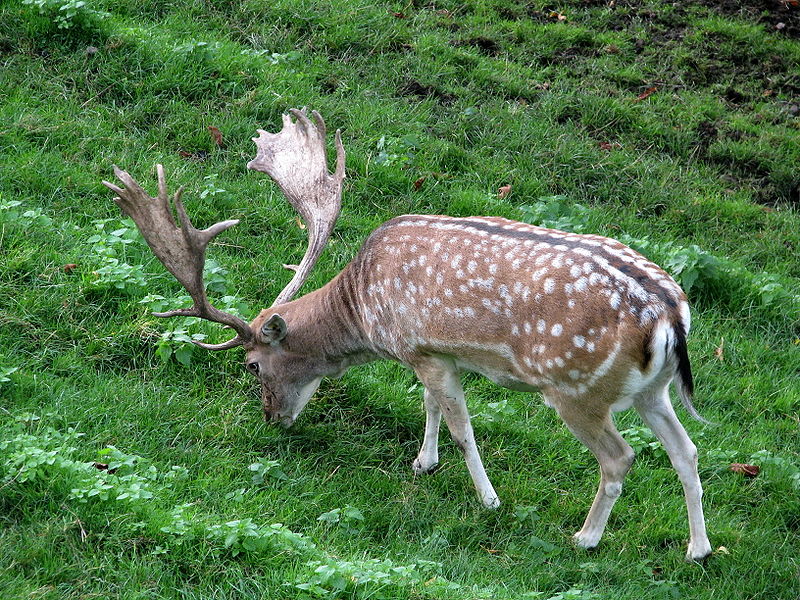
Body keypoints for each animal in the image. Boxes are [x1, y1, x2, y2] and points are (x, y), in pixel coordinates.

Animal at [101, 108, 712, 564]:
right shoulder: (432, 353)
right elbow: (431, 405)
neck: (368, 312)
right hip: (651, 390)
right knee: (687, 449)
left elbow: (464, 428)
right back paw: (698, 549)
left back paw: (585, 537)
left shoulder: (425, 350)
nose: (273, 418)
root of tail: (670, 318)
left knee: (621, 458)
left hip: (577, 389)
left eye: (253, 365)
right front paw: (423, 461)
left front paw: (487, 499)